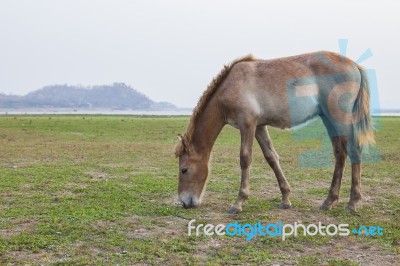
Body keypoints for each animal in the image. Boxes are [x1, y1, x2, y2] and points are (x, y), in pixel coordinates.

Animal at [175, 51, 376, 214]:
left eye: (184, 169)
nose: (184, 202)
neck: (231, 85)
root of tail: (354, 65)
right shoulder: (259, 127)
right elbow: (271, 157)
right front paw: (286, 199)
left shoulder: (247, 124)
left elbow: (245, 158)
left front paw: (238, 202)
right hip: (329, 119)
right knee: (340, 154)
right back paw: (329, 201)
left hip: (340, 118)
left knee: (353, 150)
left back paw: (352, 203)